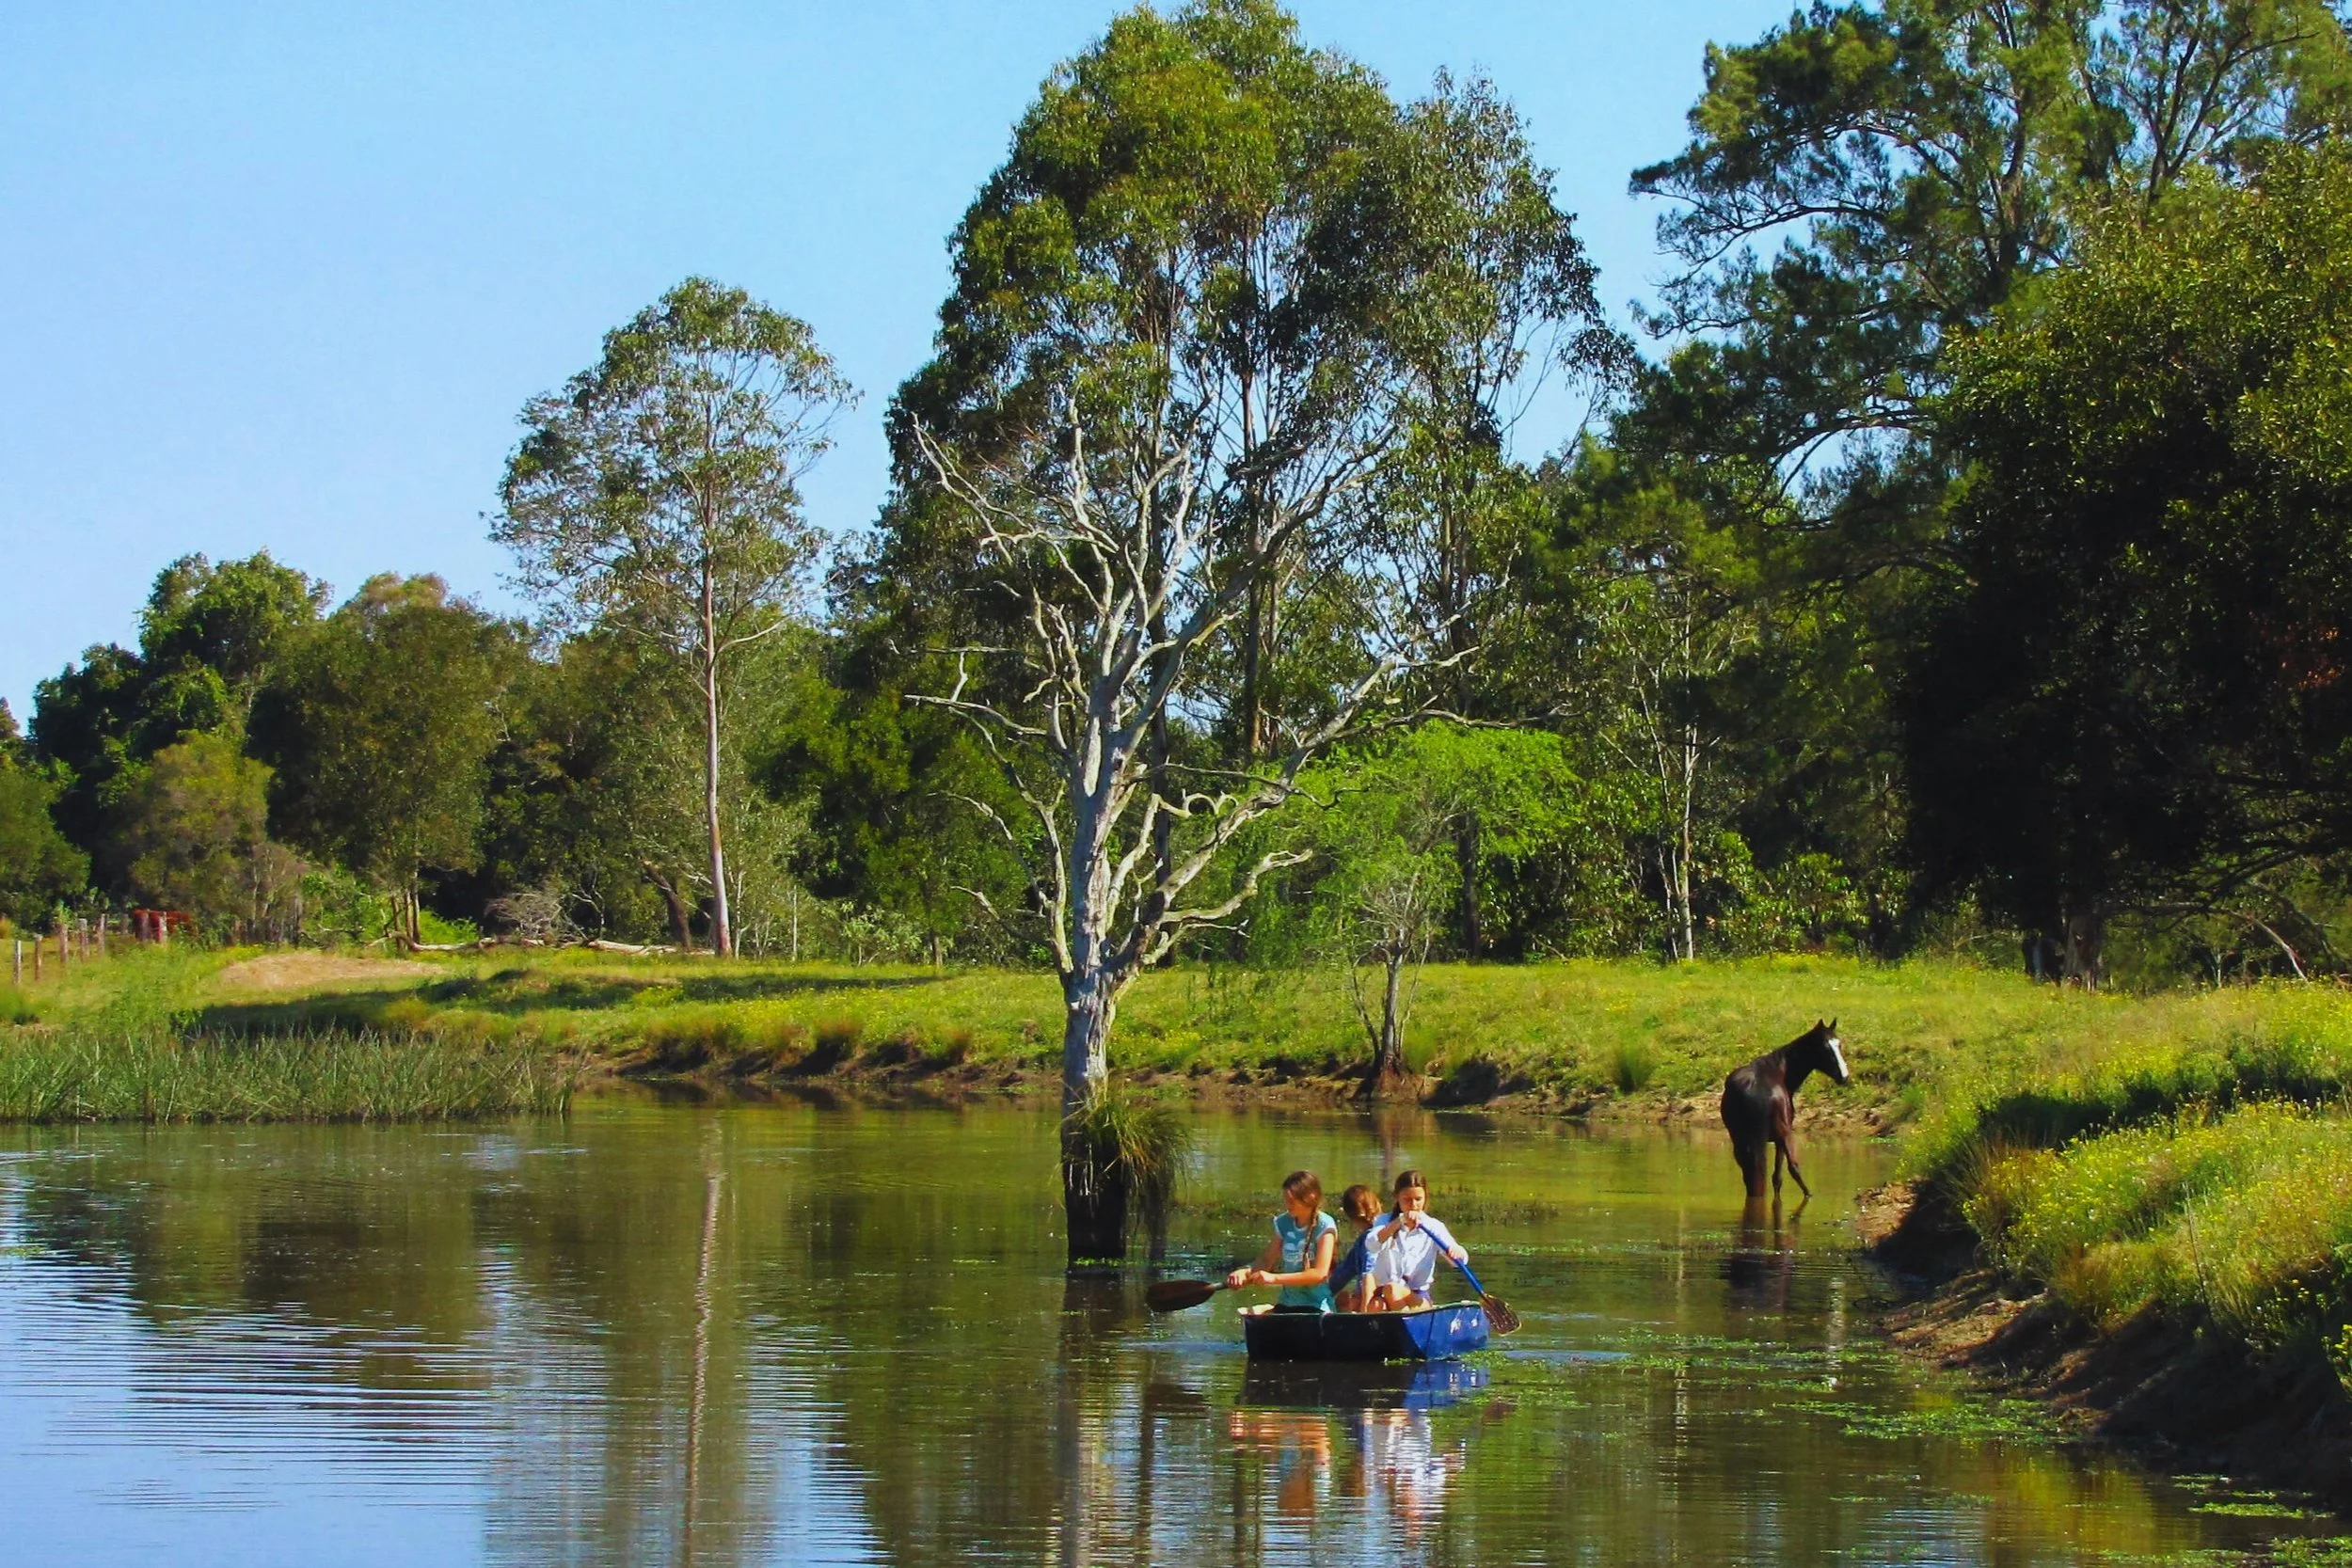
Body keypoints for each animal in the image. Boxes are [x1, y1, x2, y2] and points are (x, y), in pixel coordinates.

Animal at [1719, 1019, 1849, 1202]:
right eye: (1825, 1048)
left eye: (1839, 1044)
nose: (1844, 1077)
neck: (1781, 1070)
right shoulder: (1780, 1137)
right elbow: (1780, 1176)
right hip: (1783, 1134)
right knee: (1791, 1167)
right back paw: (1808, 1194)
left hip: (1739, 1140)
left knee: (1749, 1174)